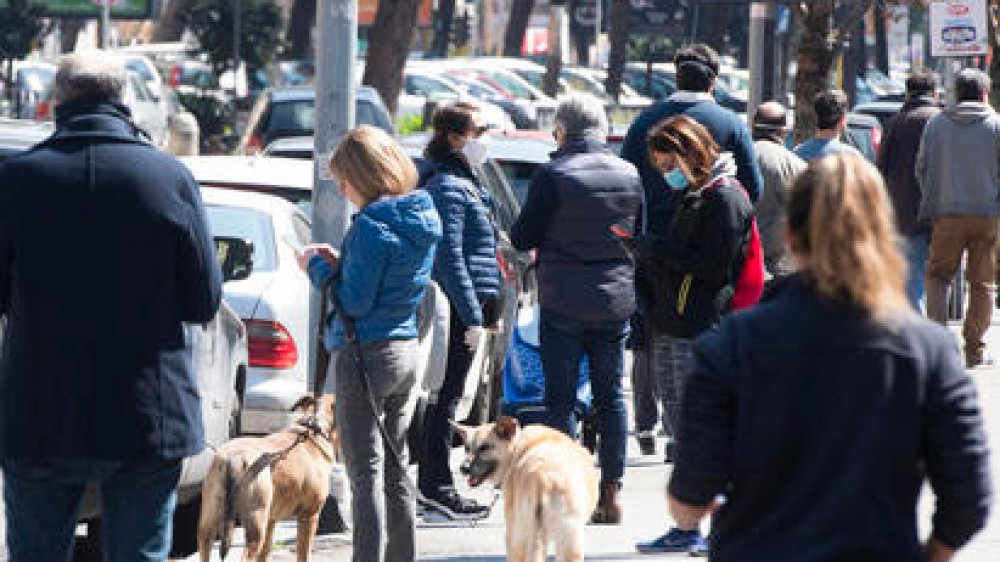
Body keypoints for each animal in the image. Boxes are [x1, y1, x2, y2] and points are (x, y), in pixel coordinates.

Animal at [199, 394, 340, 560]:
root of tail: (234, 457)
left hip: (208, 525)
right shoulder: (309, 516)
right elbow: (303, 554)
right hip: (255, 525)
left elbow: (265, 555)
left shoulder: (271, 521)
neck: (314, 429)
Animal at [456, 416, 600, 560]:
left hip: (519, 537)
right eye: (466, 448)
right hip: (568, 541)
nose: (463, 468)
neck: (516, 447)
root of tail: (543, 478)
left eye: (485, 447)